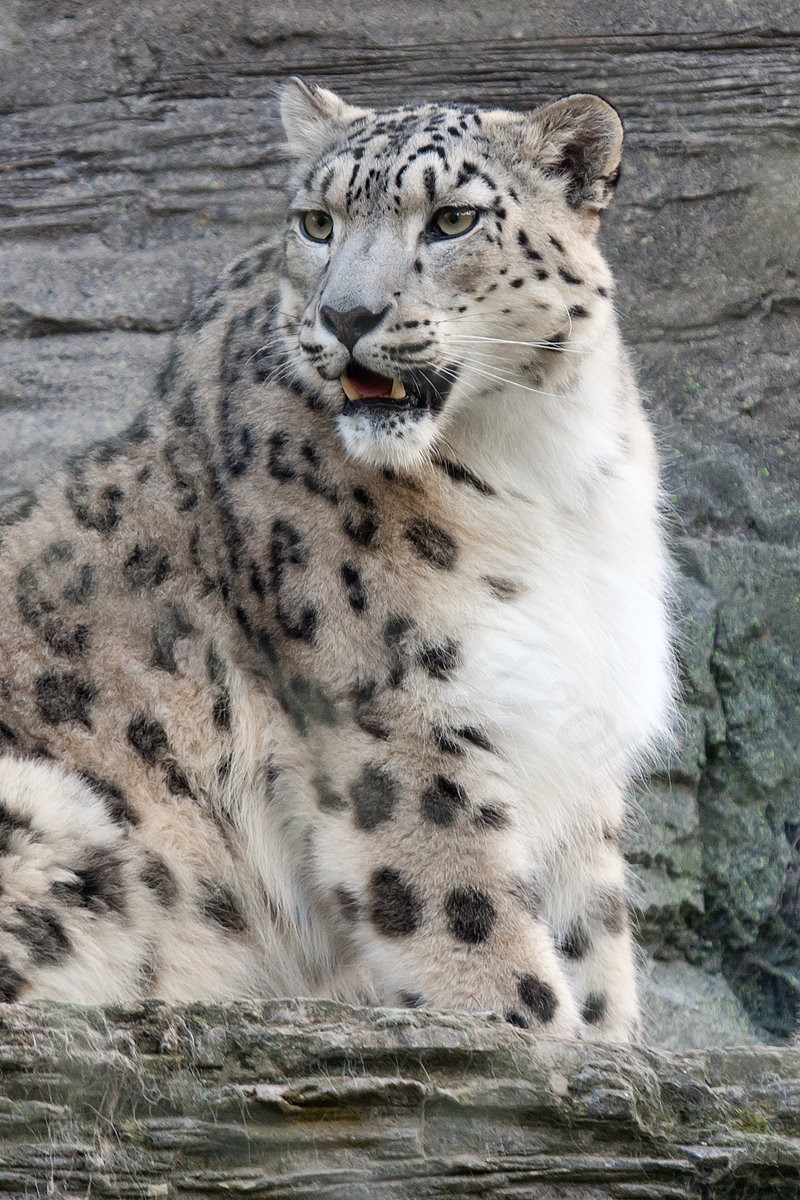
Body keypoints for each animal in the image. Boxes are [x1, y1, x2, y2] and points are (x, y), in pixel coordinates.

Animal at [0, 79, 673, 1042]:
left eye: (453, 218)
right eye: (317, 223)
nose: (346, 316)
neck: (540, 468)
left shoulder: (576, 738)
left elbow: (596, 944)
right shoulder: (397, 720)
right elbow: (475, 932)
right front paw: (538, 1043)